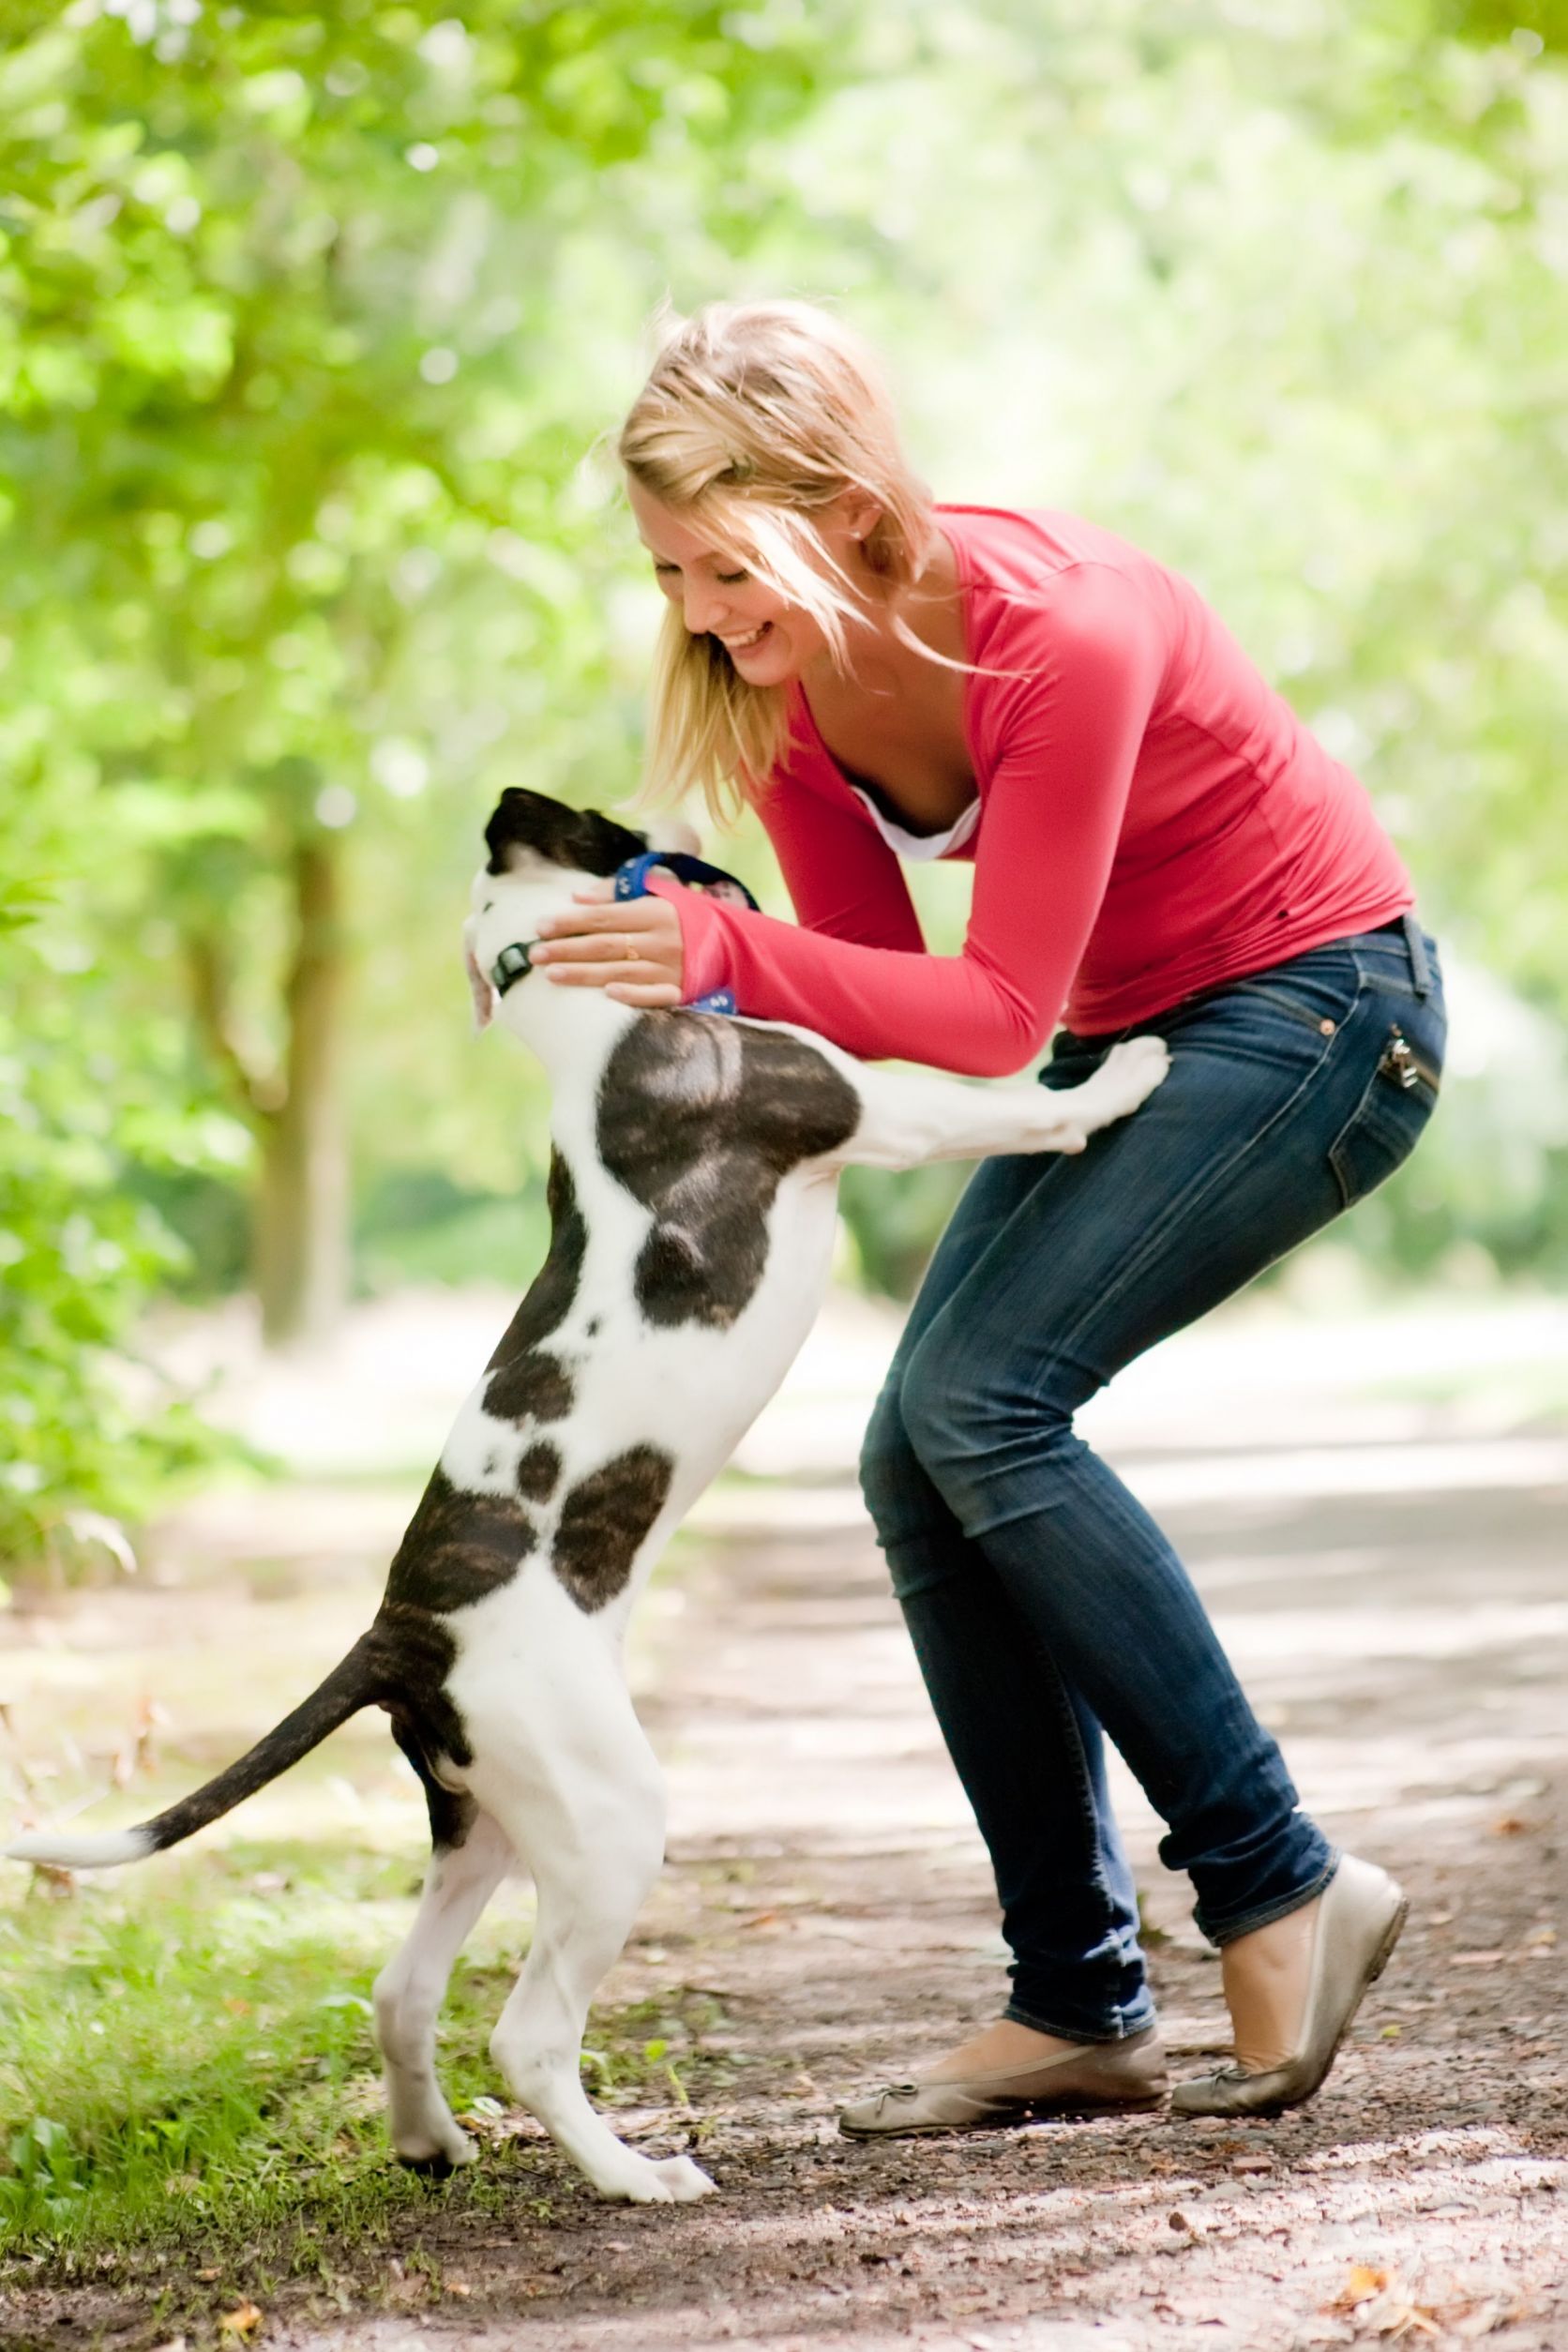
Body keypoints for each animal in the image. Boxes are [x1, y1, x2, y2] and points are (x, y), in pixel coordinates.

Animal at [3, 790, 1166, 2201]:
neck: (576, 1010)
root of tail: (399, 1633)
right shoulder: (871, 1110)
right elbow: (1002, 1106)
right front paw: (1124, 1073)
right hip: (607, 1821)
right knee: (528, 2033)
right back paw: (634, 2175)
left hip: (487, 1818)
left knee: (400, 1991)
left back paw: (431, 2141)